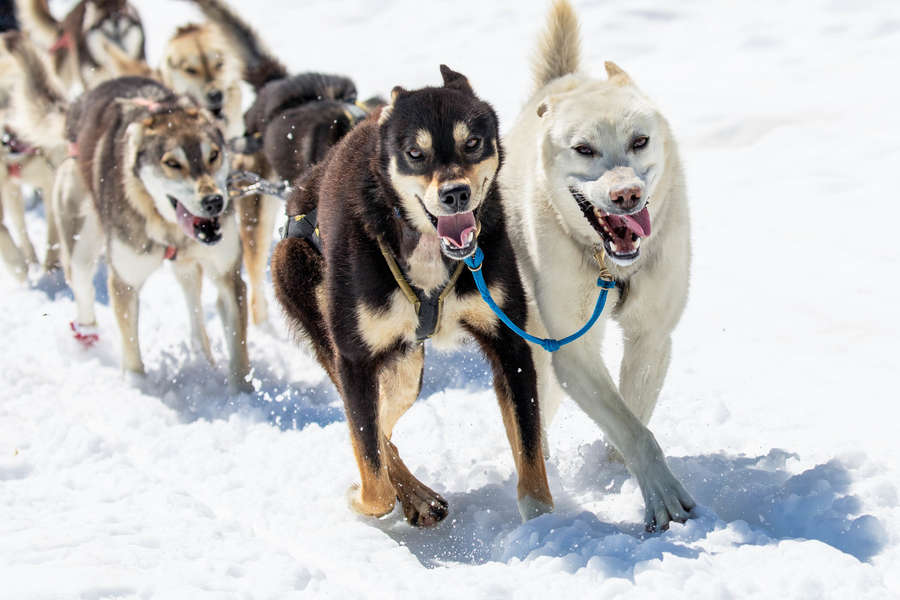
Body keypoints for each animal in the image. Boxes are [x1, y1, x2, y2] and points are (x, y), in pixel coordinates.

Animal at [500, 1, 696, 536]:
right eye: (584, 149)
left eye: (640, 140)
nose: (626, 194)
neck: (611, 268)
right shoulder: (572, 351)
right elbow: (634, 429)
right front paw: (662, 494)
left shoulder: (651, 337)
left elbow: (633, 420)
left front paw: (617, 474)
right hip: (535, 343)